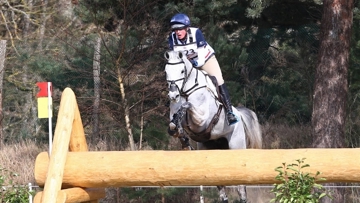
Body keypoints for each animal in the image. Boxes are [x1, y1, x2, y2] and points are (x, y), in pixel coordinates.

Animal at [163, 49, 262, 203]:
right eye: (166, 72)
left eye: (181, 71)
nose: (173, 96)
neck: (185, 92)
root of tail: (239, 114)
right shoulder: (176, 119)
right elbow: (173, 125)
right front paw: (184, 141)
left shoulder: (201, 120)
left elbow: (187, 106)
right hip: (210, 149)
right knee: (221, 187)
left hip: (236, 144)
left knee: (241, 188)